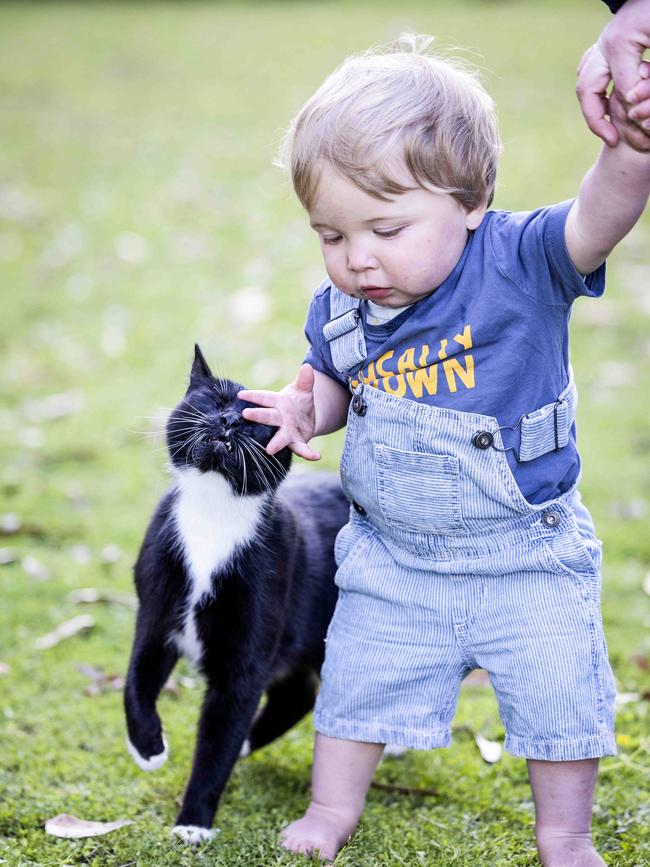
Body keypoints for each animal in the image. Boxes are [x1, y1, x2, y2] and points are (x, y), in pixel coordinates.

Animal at [123, 344, 350, 840]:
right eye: (217, 401)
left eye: (258, 420)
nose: (230, 420)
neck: (213, 515)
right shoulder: (155, 613)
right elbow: (135, 680)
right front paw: (147, 748)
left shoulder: (246, 652)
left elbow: (218, 736)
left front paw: (193, 823)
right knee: (298, 691)